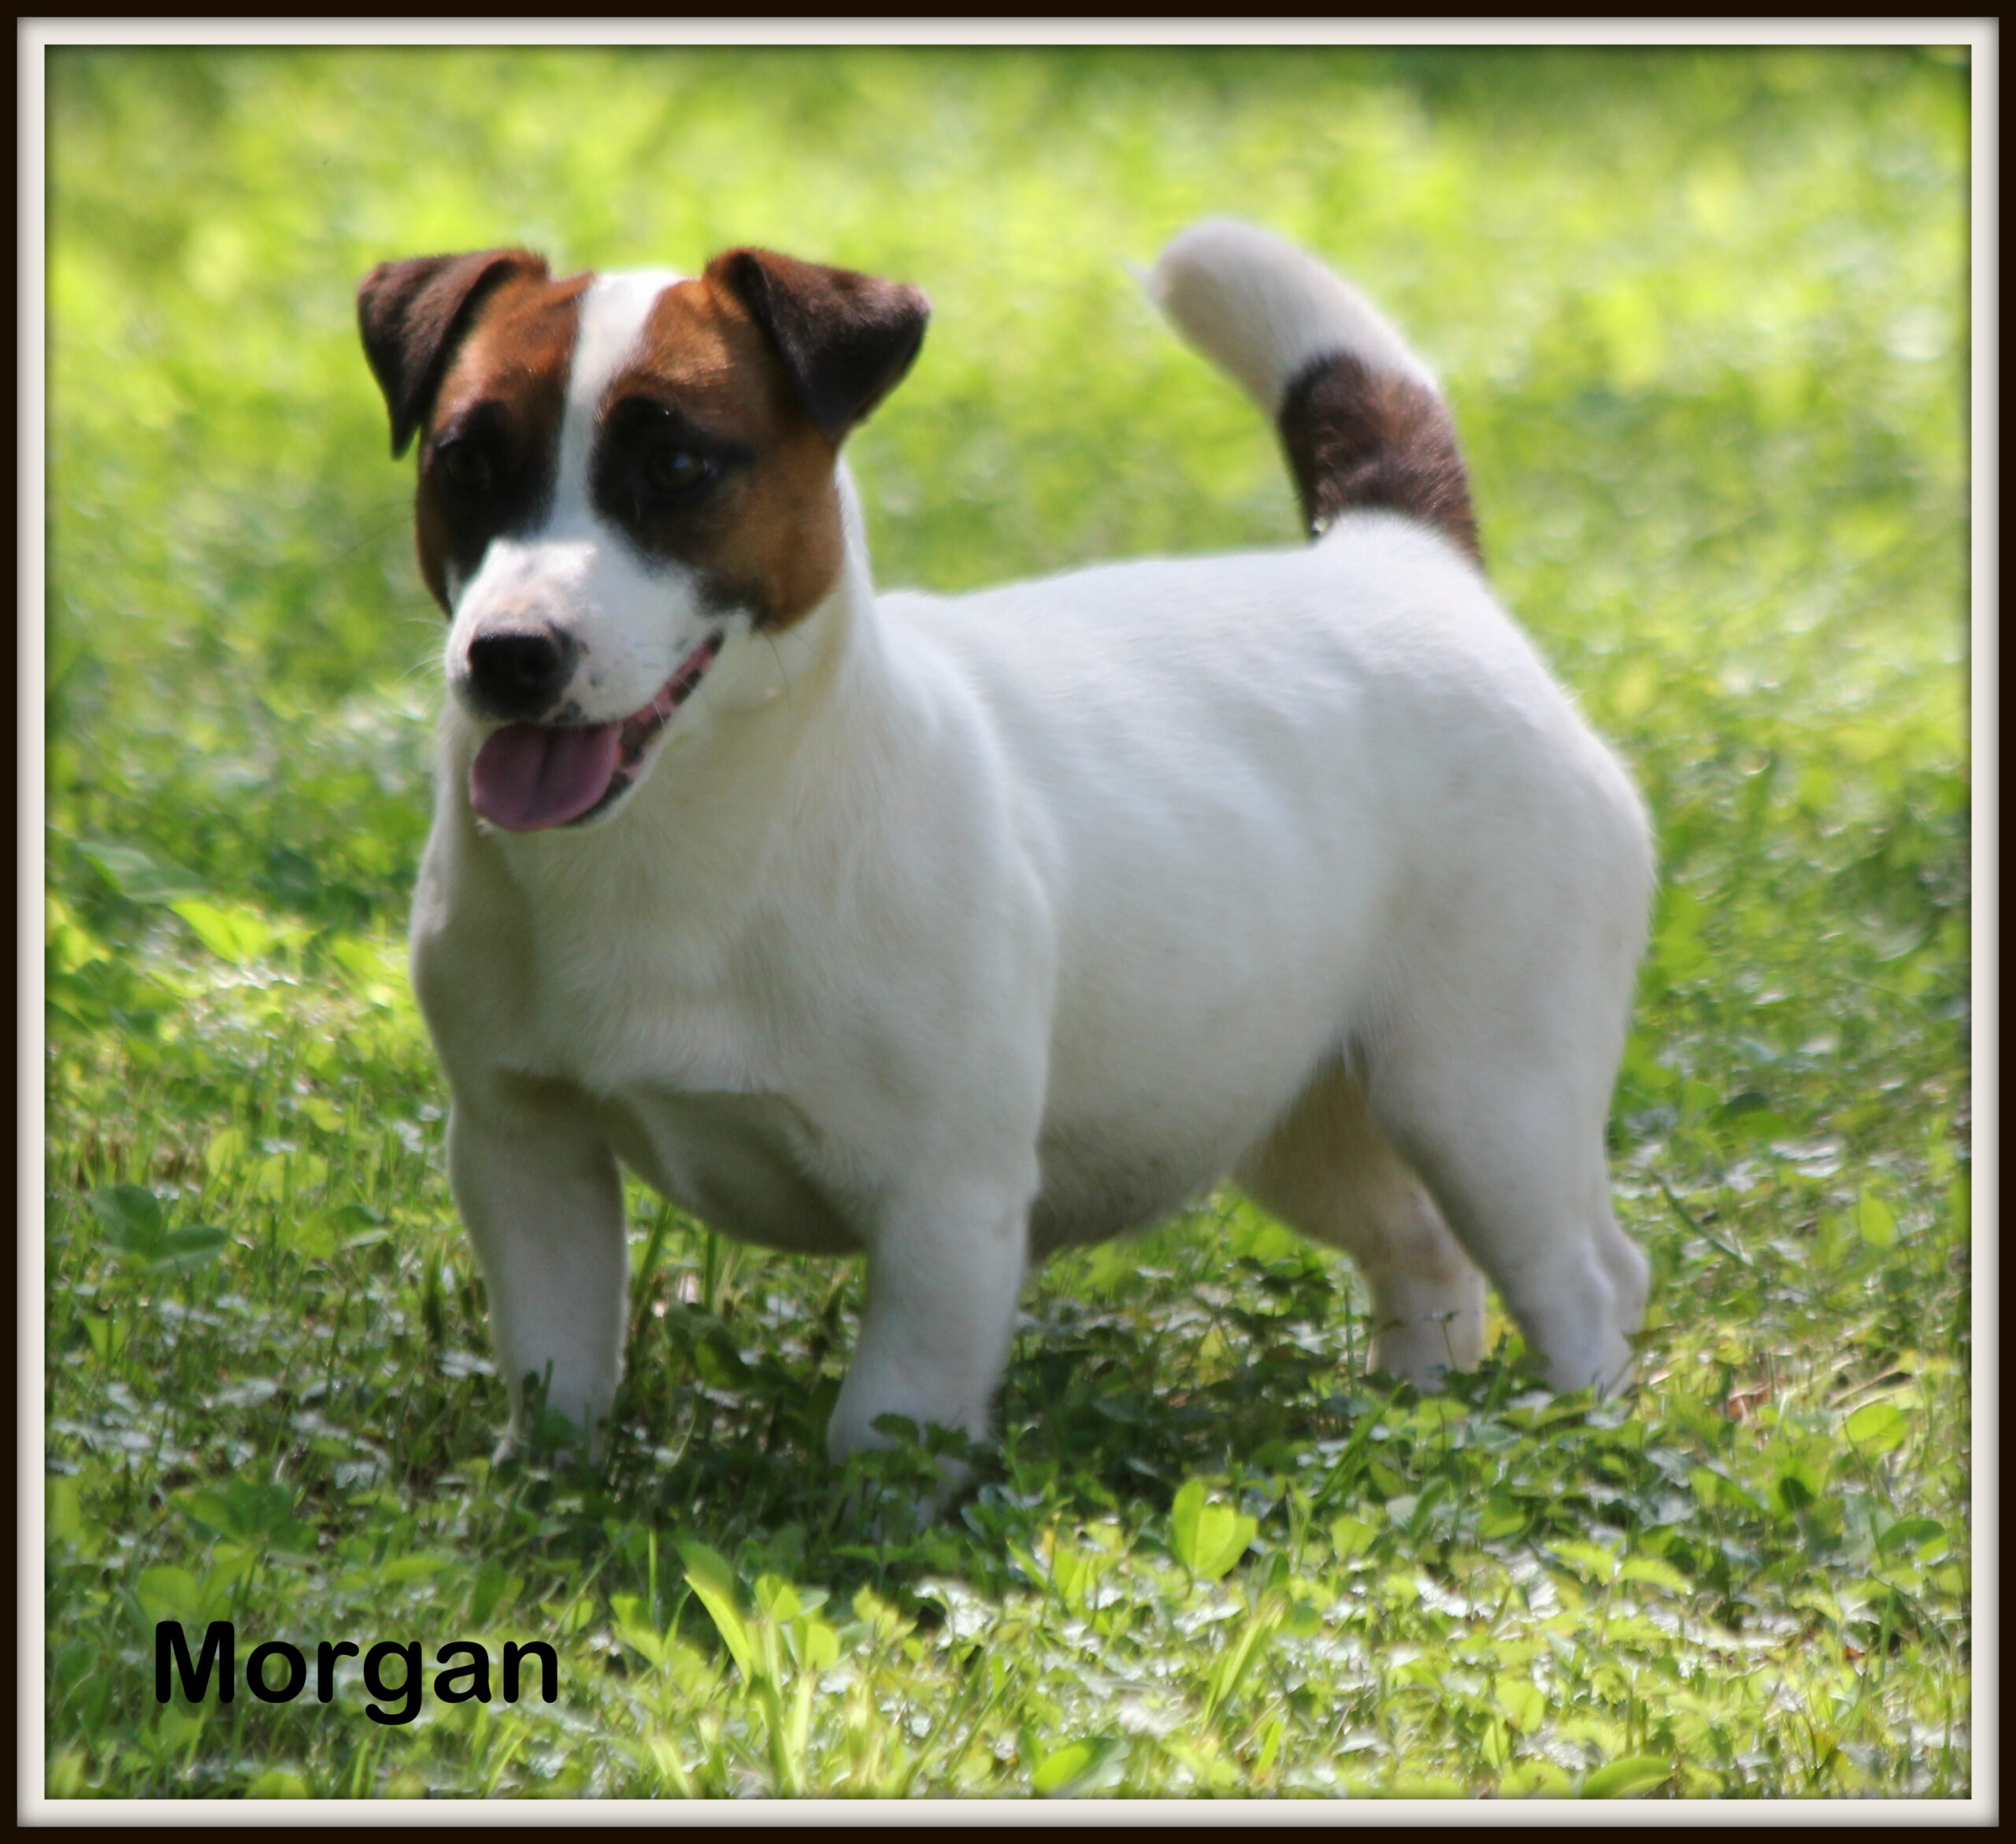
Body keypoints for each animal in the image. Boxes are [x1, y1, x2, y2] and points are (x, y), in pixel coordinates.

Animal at [362, 219, 1653, 1483]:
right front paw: (543, 1490)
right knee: (1421, 1246)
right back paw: (1420, 1411)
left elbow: (886, 1419)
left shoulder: (945, 1199)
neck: (692, 835)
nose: (509, 654)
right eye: (465, 462)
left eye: (677, 468)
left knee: (1583, 1274)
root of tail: (1402, 562)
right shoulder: (524, 1149)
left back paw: (1578, 1433)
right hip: (1297, 1107)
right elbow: (557, 1366)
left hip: (1487, 1095)